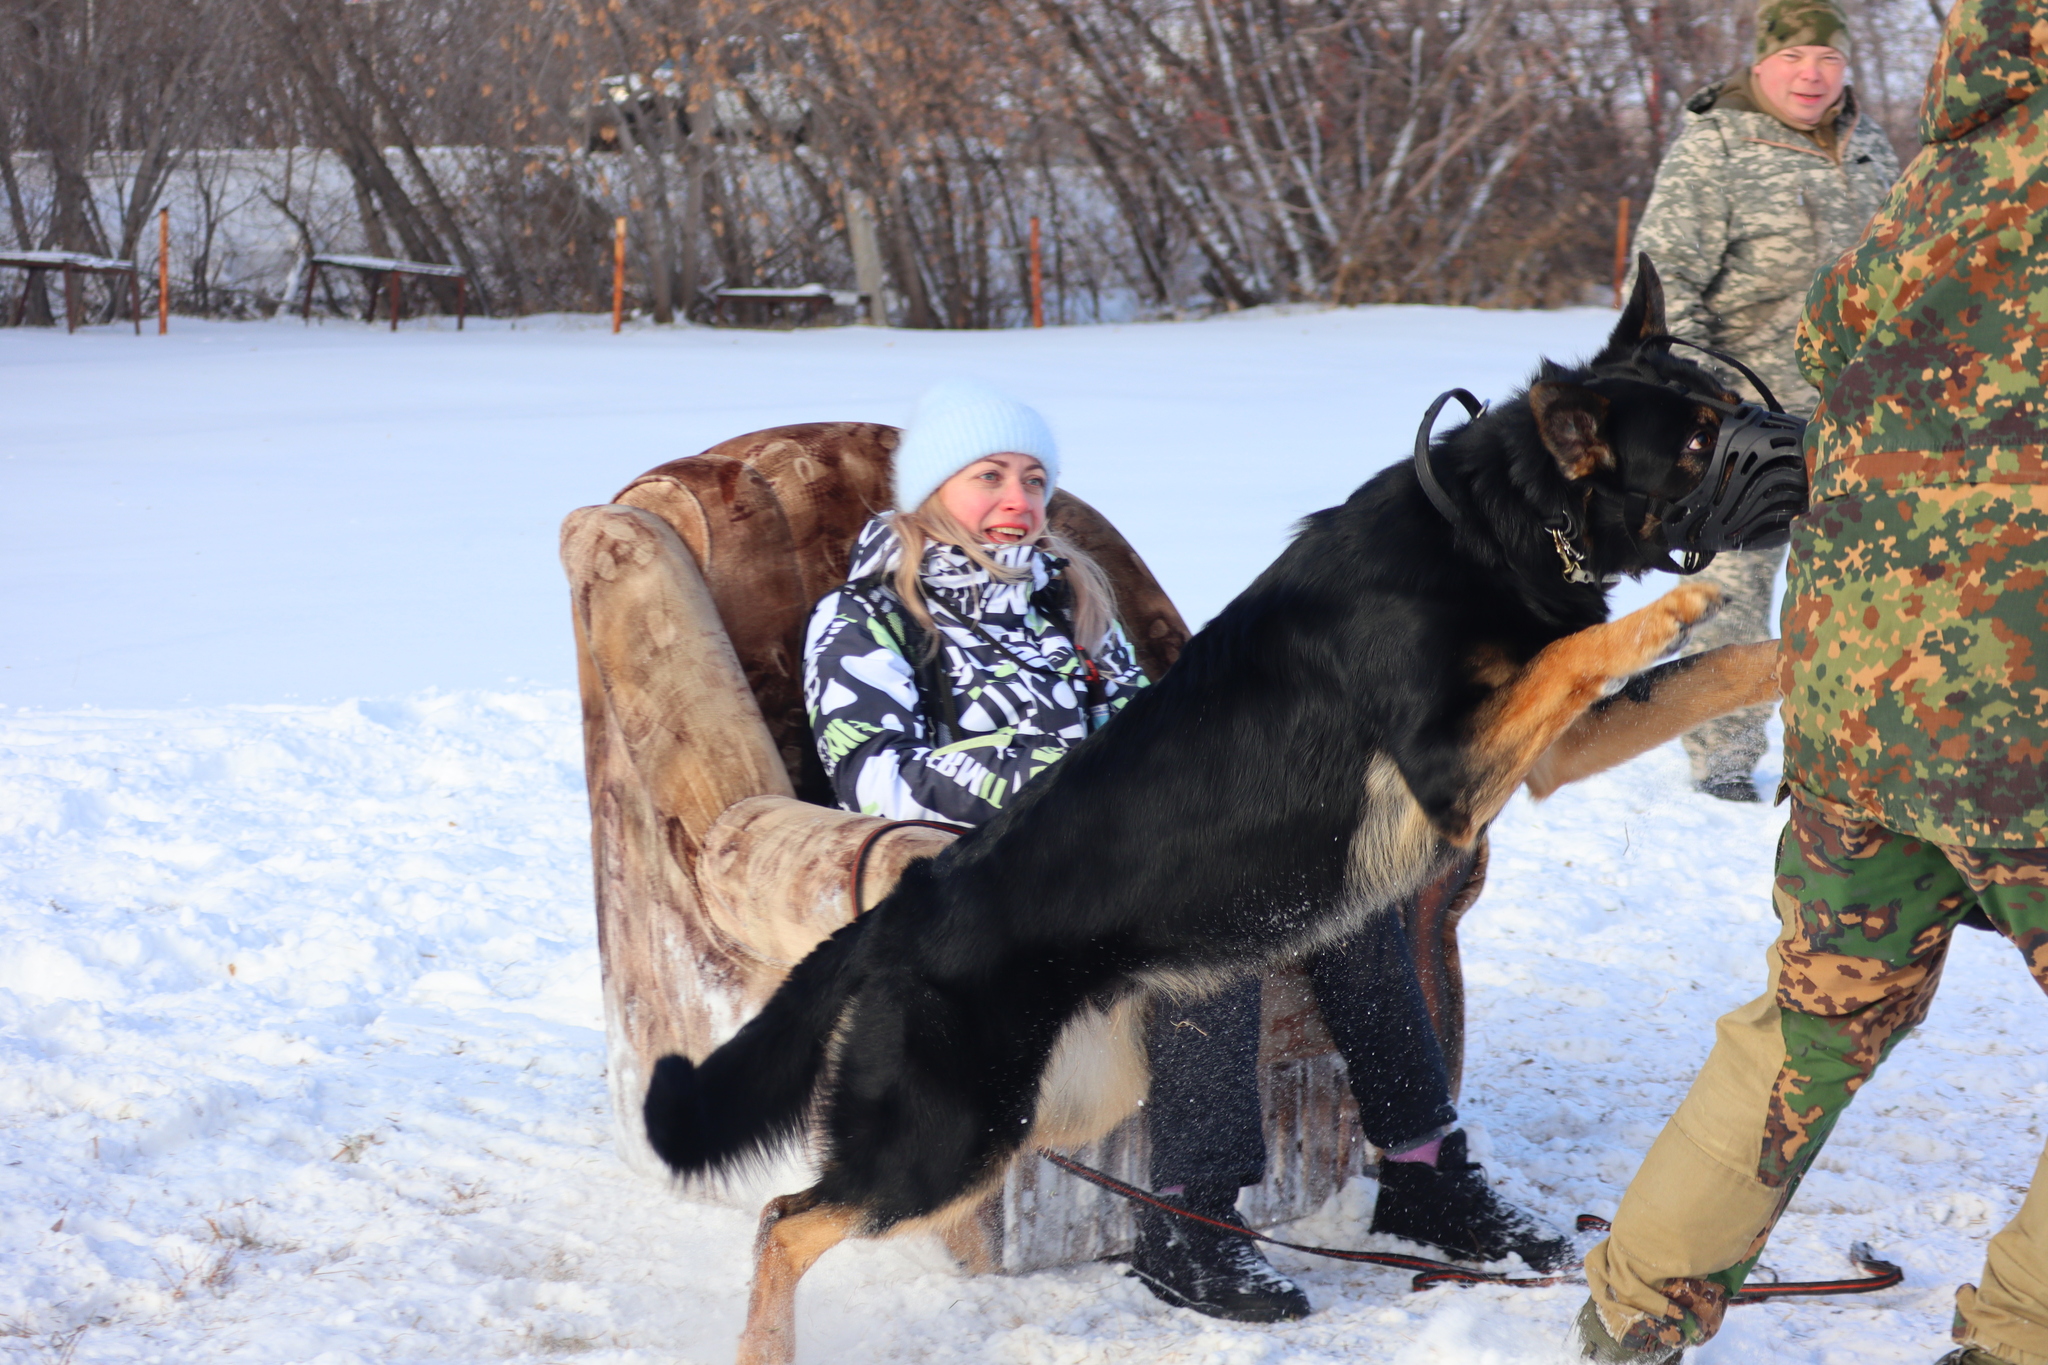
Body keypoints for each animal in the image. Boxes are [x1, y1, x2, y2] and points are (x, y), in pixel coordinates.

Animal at [651, 261, 1777, 1358]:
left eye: (1724, 406)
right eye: (1693, 441)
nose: (1795, 449)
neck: (1496, 521)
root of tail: (903, 901)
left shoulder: (1541, 755)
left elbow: (1702, 674)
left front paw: (1793, 651)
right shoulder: (1455, 769)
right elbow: (1584, 649)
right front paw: (1670, 608)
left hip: (1062, 1103)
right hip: (948, 1135)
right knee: (784, 1220)